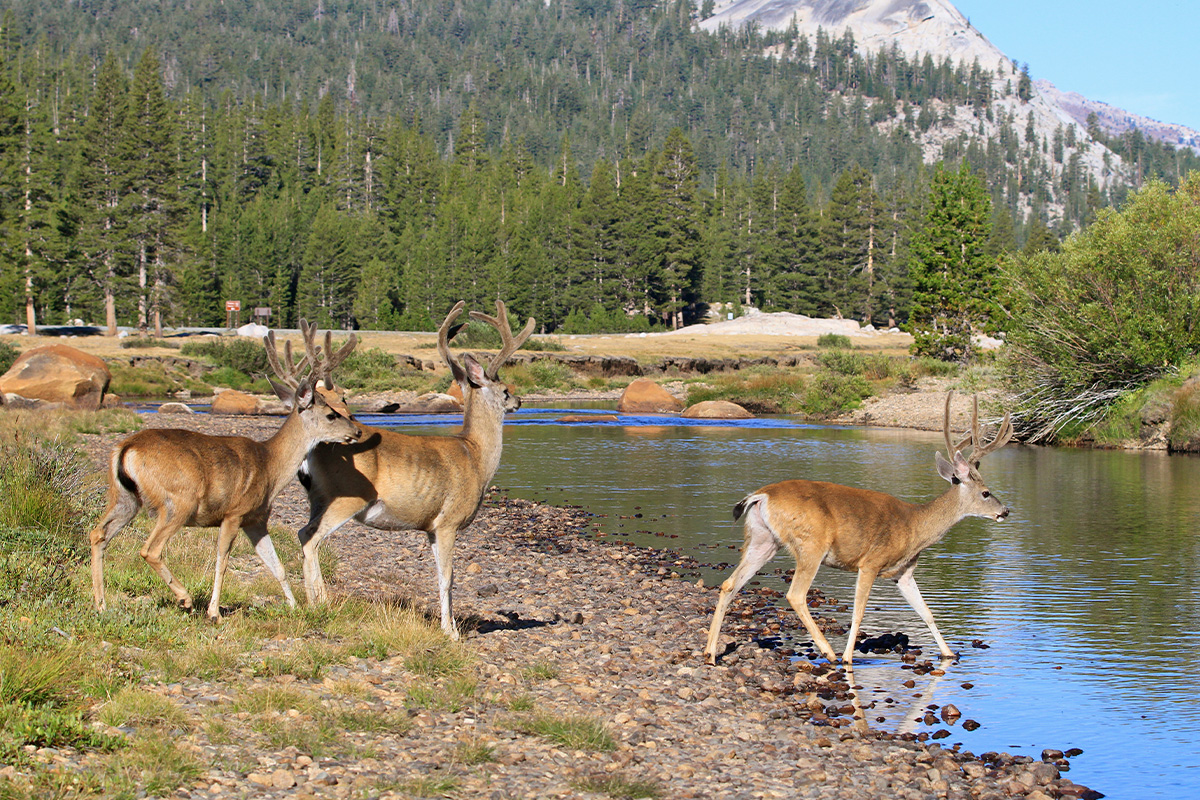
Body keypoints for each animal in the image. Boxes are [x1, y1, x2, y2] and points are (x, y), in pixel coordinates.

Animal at [88, 321, 360, 623]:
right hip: (178, 499)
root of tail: (126, 447)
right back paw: (184, 599)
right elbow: (222, 561)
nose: (357, 431)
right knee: (150, 549)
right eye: (331, 414)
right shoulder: (234, 512)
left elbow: (276, 565)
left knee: (98, 534)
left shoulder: (255, 519)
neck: (270, 466)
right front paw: (214, 612)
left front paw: (294, 607)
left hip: (125, 497)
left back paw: (101, 605)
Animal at [292, 297, 537, 642]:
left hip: (317, 498)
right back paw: (319, 603)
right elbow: (447, 576)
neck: (475, 456)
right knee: (309, 536)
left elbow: (442, 575)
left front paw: (448, 626)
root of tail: (312, 448)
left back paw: (312, 601)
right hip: (345, 497)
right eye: (503, 390)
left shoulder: (431, 528)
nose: (519, 400)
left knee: (304, 533)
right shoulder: (448, 521)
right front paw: (451, 632)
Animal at [700, 393, 1012, 662]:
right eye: (986, 493)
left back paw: (710, 653)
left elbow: (927, 613)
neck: (915, 526)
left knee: (729, 584)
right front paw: (849, 657)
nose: (1005, 511)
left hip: (763, 541)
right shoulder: (871, 562)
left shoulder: (903, 574)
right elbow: (858, 614)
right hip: (811, 543)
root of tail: (761, 495)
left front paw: (949, 654)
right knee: (795, 594)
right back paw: (829, 653)